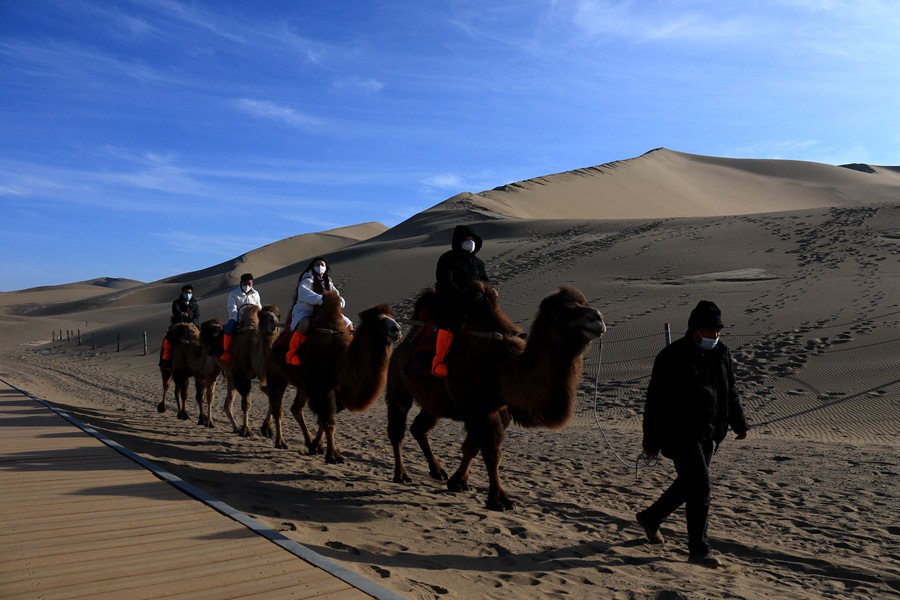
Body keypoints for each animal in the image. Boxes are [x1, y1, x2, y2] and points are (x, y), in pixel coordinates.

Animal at [260, 290, 400, 464]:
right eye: (378, 321)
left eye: (392, 318)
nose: (397, 329)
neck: (340, 358)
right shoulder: (323, 388)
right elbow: (328, 422)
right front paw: (333, 455)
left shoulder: (334, 391)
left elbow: (324, 419)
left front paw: (317, 446)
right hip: (278, 376)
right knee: (277, 406)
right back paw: (280, 442)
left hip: (303, 384)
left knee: (296, 408)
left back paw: (307, 440)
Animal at [384, 282, 604, 510]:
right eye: (564, 310)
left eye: (583, 303)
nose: (597, 317)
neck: (505, 368)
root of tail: (405, 341)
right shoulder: (482, 410)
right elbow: (492, 454)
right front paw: (499, 500)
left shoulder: (498, 411)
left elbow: (472, 447)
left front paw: (458, 482)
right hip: (397, 382)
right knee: (397, 428)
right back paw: (401, 475)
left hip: (434, 403)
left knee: (419, 428)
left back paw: (438, 471)